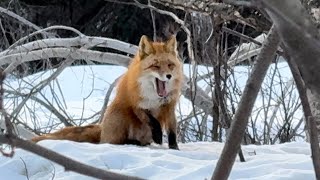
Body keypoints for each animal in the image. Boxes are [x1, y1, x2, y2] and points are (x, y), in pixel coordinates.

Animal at [32, 34, 184, 149]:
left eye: (170, 65)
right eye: (155, 66)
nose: (169, 76)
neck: (154, 98)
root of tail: (102, 128)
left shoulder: (169, 106)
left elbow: (172, 131)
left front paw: (174, 148)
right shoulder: (136, 105)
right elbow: (152, 121)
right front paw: (158, 136)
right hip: (119, 114)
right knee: (111, 142)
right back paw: (131, 142)